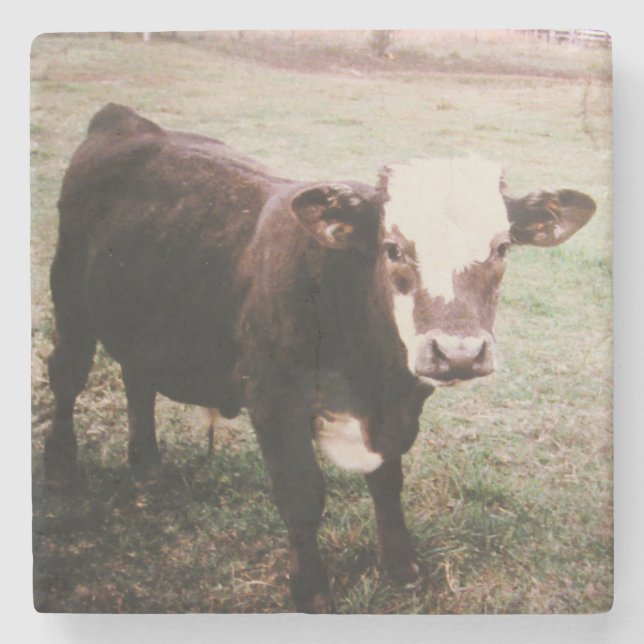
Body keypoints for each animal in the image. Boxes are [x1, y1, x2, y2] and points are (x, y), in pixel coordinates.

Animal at [44, 104, 433, 613]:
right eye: (395, 249)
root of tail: (124, 120)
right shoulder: (273, 401)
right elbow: (301, 493)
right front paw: (311, 588)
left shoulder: (394, 406)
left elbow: (386, 478)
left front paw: (401, 566)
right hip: (71, 301)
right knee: (66, 377)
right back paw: (60, 469)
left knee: (138, 383)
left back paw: (147, 470)